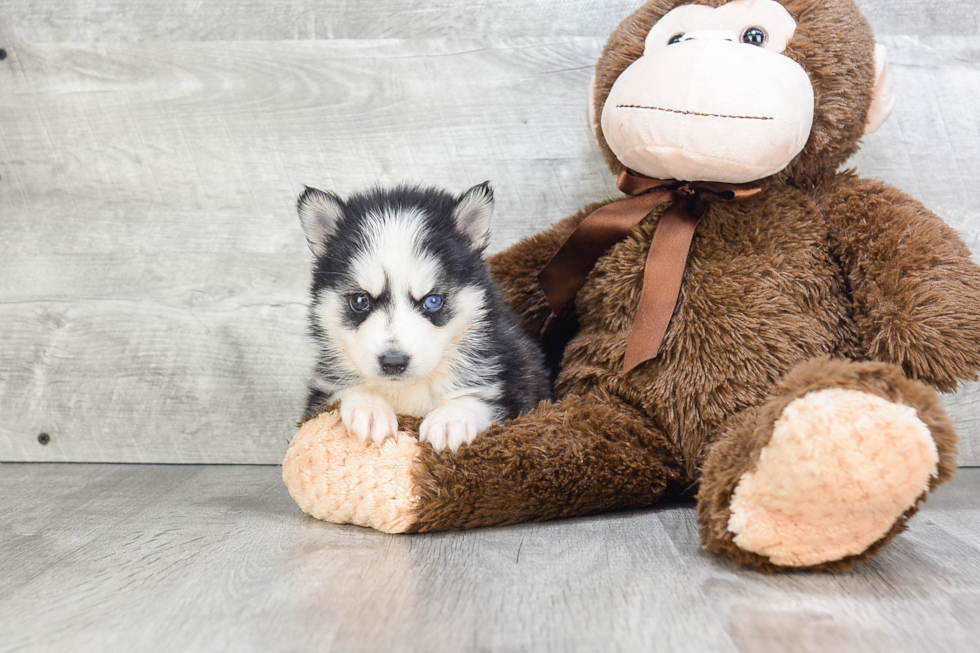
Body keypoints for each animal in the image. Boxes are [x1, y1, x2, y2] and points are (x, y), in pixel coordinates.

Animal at [294, 181, 552, 450]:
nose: (393, 362)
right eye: (360, 301)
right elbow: (341, 392)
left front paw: (451, 419)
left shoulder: (515, 389)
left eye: (432, 300)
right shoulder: (320, 393)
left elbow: (482, 399)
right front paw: (369, 408)